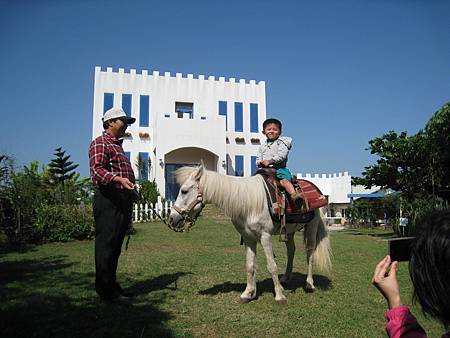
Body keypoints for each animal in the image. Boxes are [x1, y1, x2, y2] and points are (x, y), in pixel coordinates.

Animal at [167, 164, 332, 304]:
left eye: (184, 191)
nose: (172, 218)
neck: (248, 203)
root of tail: (320, 194)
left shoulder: (265, 237)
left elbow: (271, 265)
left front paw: (279, 295)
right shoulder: (248, 238)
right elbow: (250, 265)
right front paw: (248, 293)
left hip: (312, 226)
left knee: (309, 252)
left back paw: (309, 284)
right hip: (289, 231)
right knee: (291, 250)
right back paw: (285, 278)